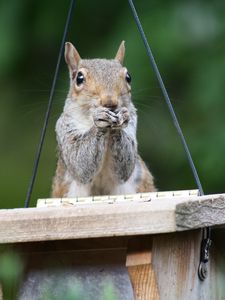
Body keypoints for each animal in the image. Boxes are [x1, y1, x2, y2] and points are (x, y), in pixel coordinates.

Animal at [51, 41, 156, 197]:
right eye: (79, 78)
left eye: (128, 77)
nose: (110, 102)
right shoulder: (64, 127)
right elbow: (78, 161)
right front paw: (99, 121)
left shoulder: (132, 124)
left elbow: (126, 166)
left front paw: (121, 118)